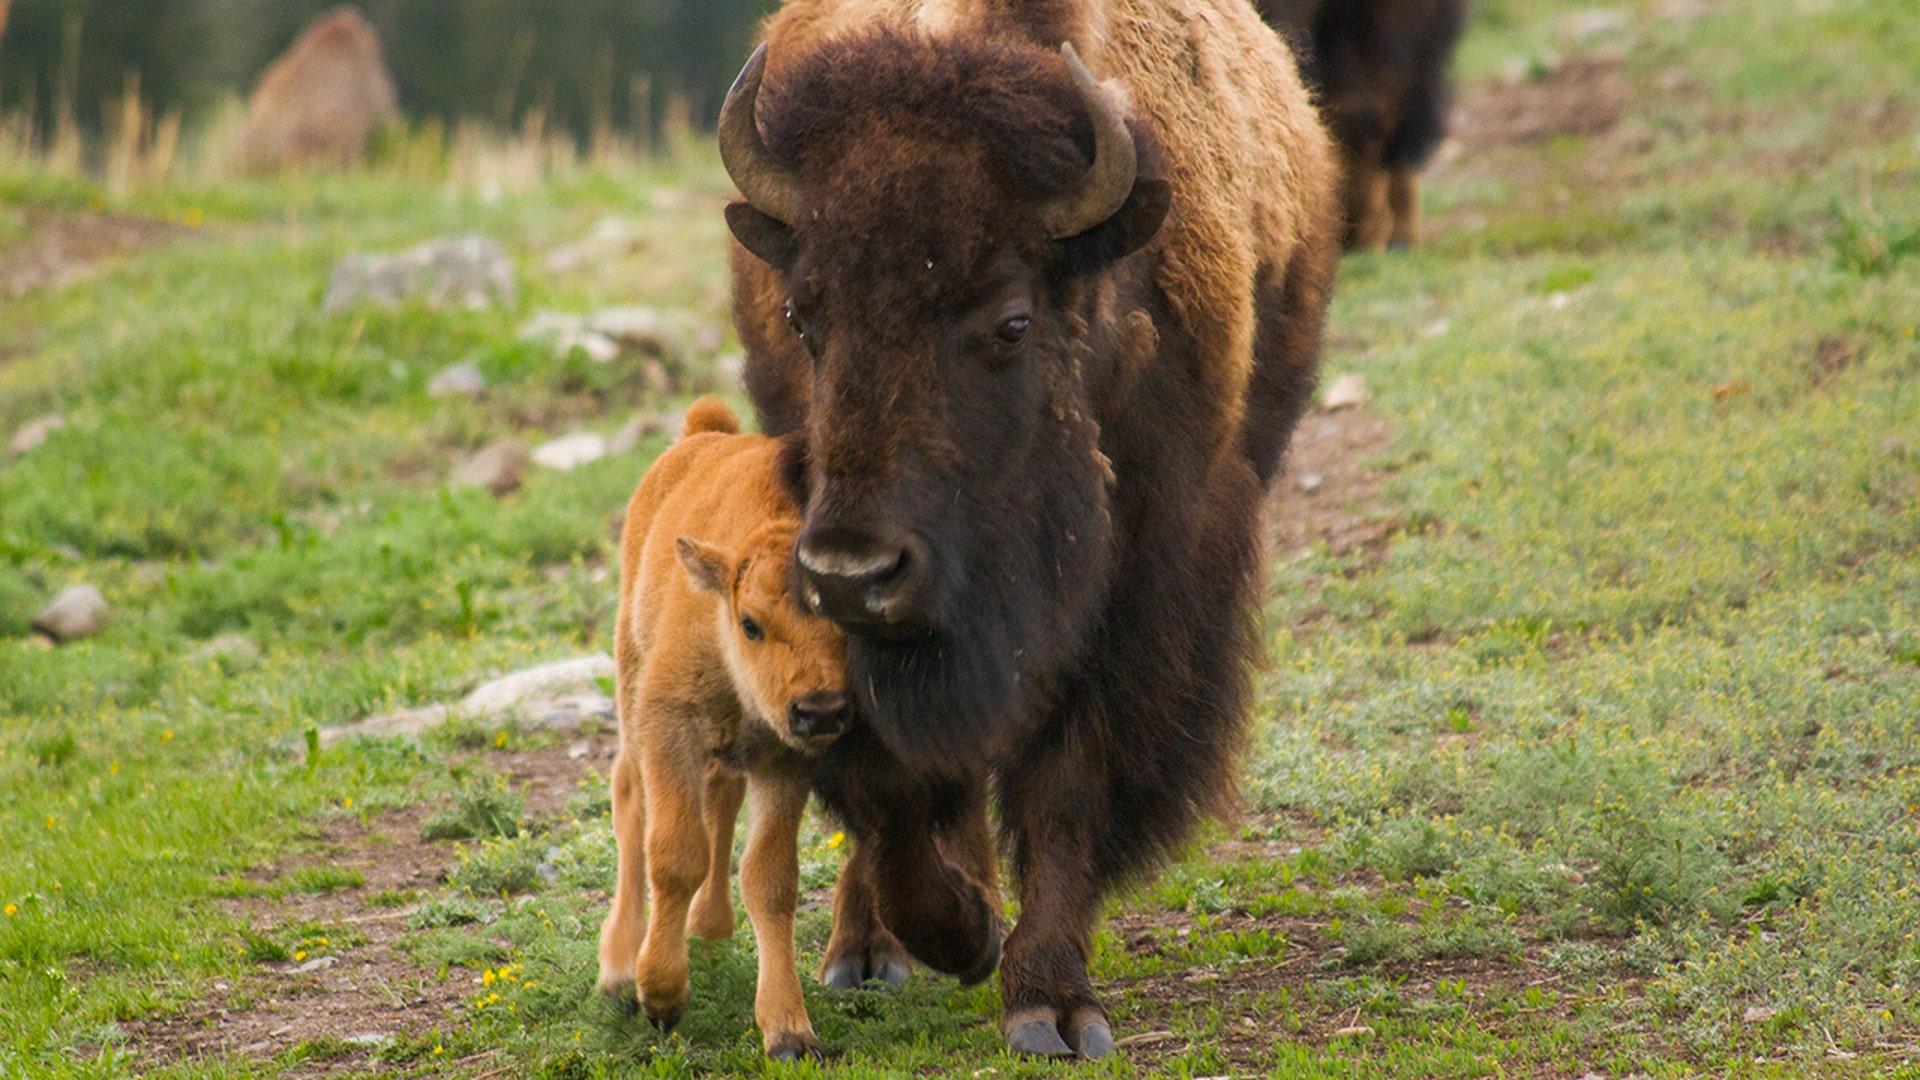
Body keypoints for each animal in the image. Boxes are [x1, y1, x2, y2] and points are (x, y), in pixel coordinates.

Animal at [595, 398, 851, 1061]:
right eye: (751, 623)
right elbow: (674, 852)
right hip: (632, 689)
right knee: (629, 798)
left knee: (721, 797)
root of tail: (701, 435)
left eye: (848, 622)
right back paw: (618, 969)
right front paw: (660, 997)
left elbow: (769, 878)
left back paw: (709, 929)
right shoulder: (669, 728)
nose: (820, 709)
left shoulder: (785, 759)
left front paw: (789, 1031)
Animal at [718, 0, 1340, 1058]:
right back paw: (862, 950)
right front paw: (958, 932)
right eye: (803, 314)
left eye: (1010, 322)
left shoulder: (1139, 592)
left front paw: (1048, 1002)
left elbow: (1066, 784)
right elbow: (894, 788)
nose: (852, 573)